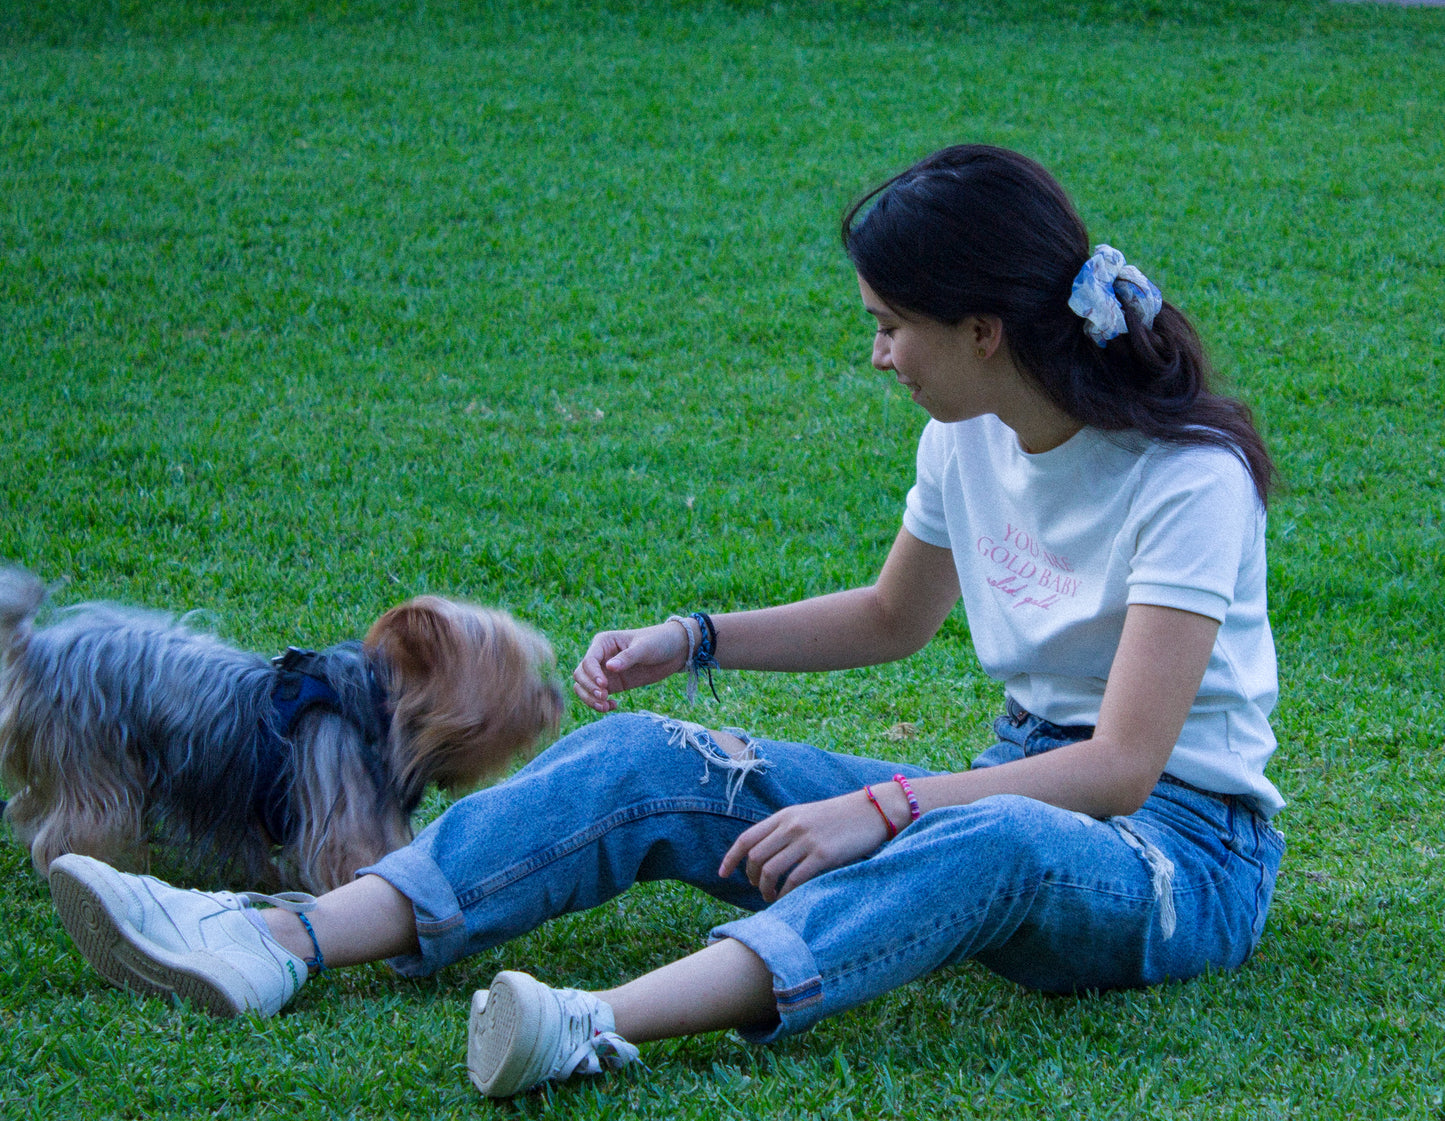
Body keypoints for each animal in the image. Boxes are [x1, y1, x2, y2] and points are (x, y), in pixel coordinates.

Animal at [0, 569, 563, 895]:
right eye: (516, 674)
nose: (555, 697)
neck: (377, 708)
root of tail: (38, 652)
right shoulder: (343, 811)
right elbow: (353, 860)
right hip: (96, 767)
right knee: (66, 830)